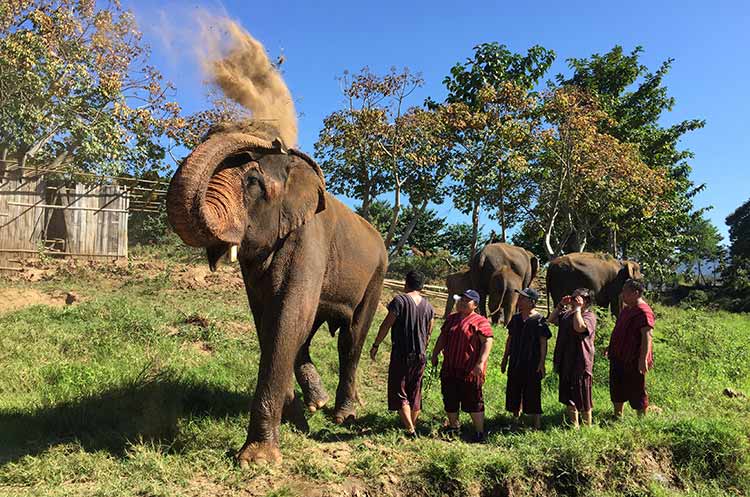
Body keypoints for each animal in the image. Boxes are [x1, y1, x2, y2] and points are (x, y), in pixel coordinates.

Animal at [165, 120, 388, 464]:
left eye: (253, 182)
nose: (276, 141)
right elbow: (271, 319)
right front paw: (296, 422)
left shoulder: (309, 237)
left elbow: (289, 314)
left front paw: (257, 459)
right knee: (308, 333)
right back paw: (318, 404)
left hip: (377, 276)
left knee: (351, 340)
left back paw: (343, 415)